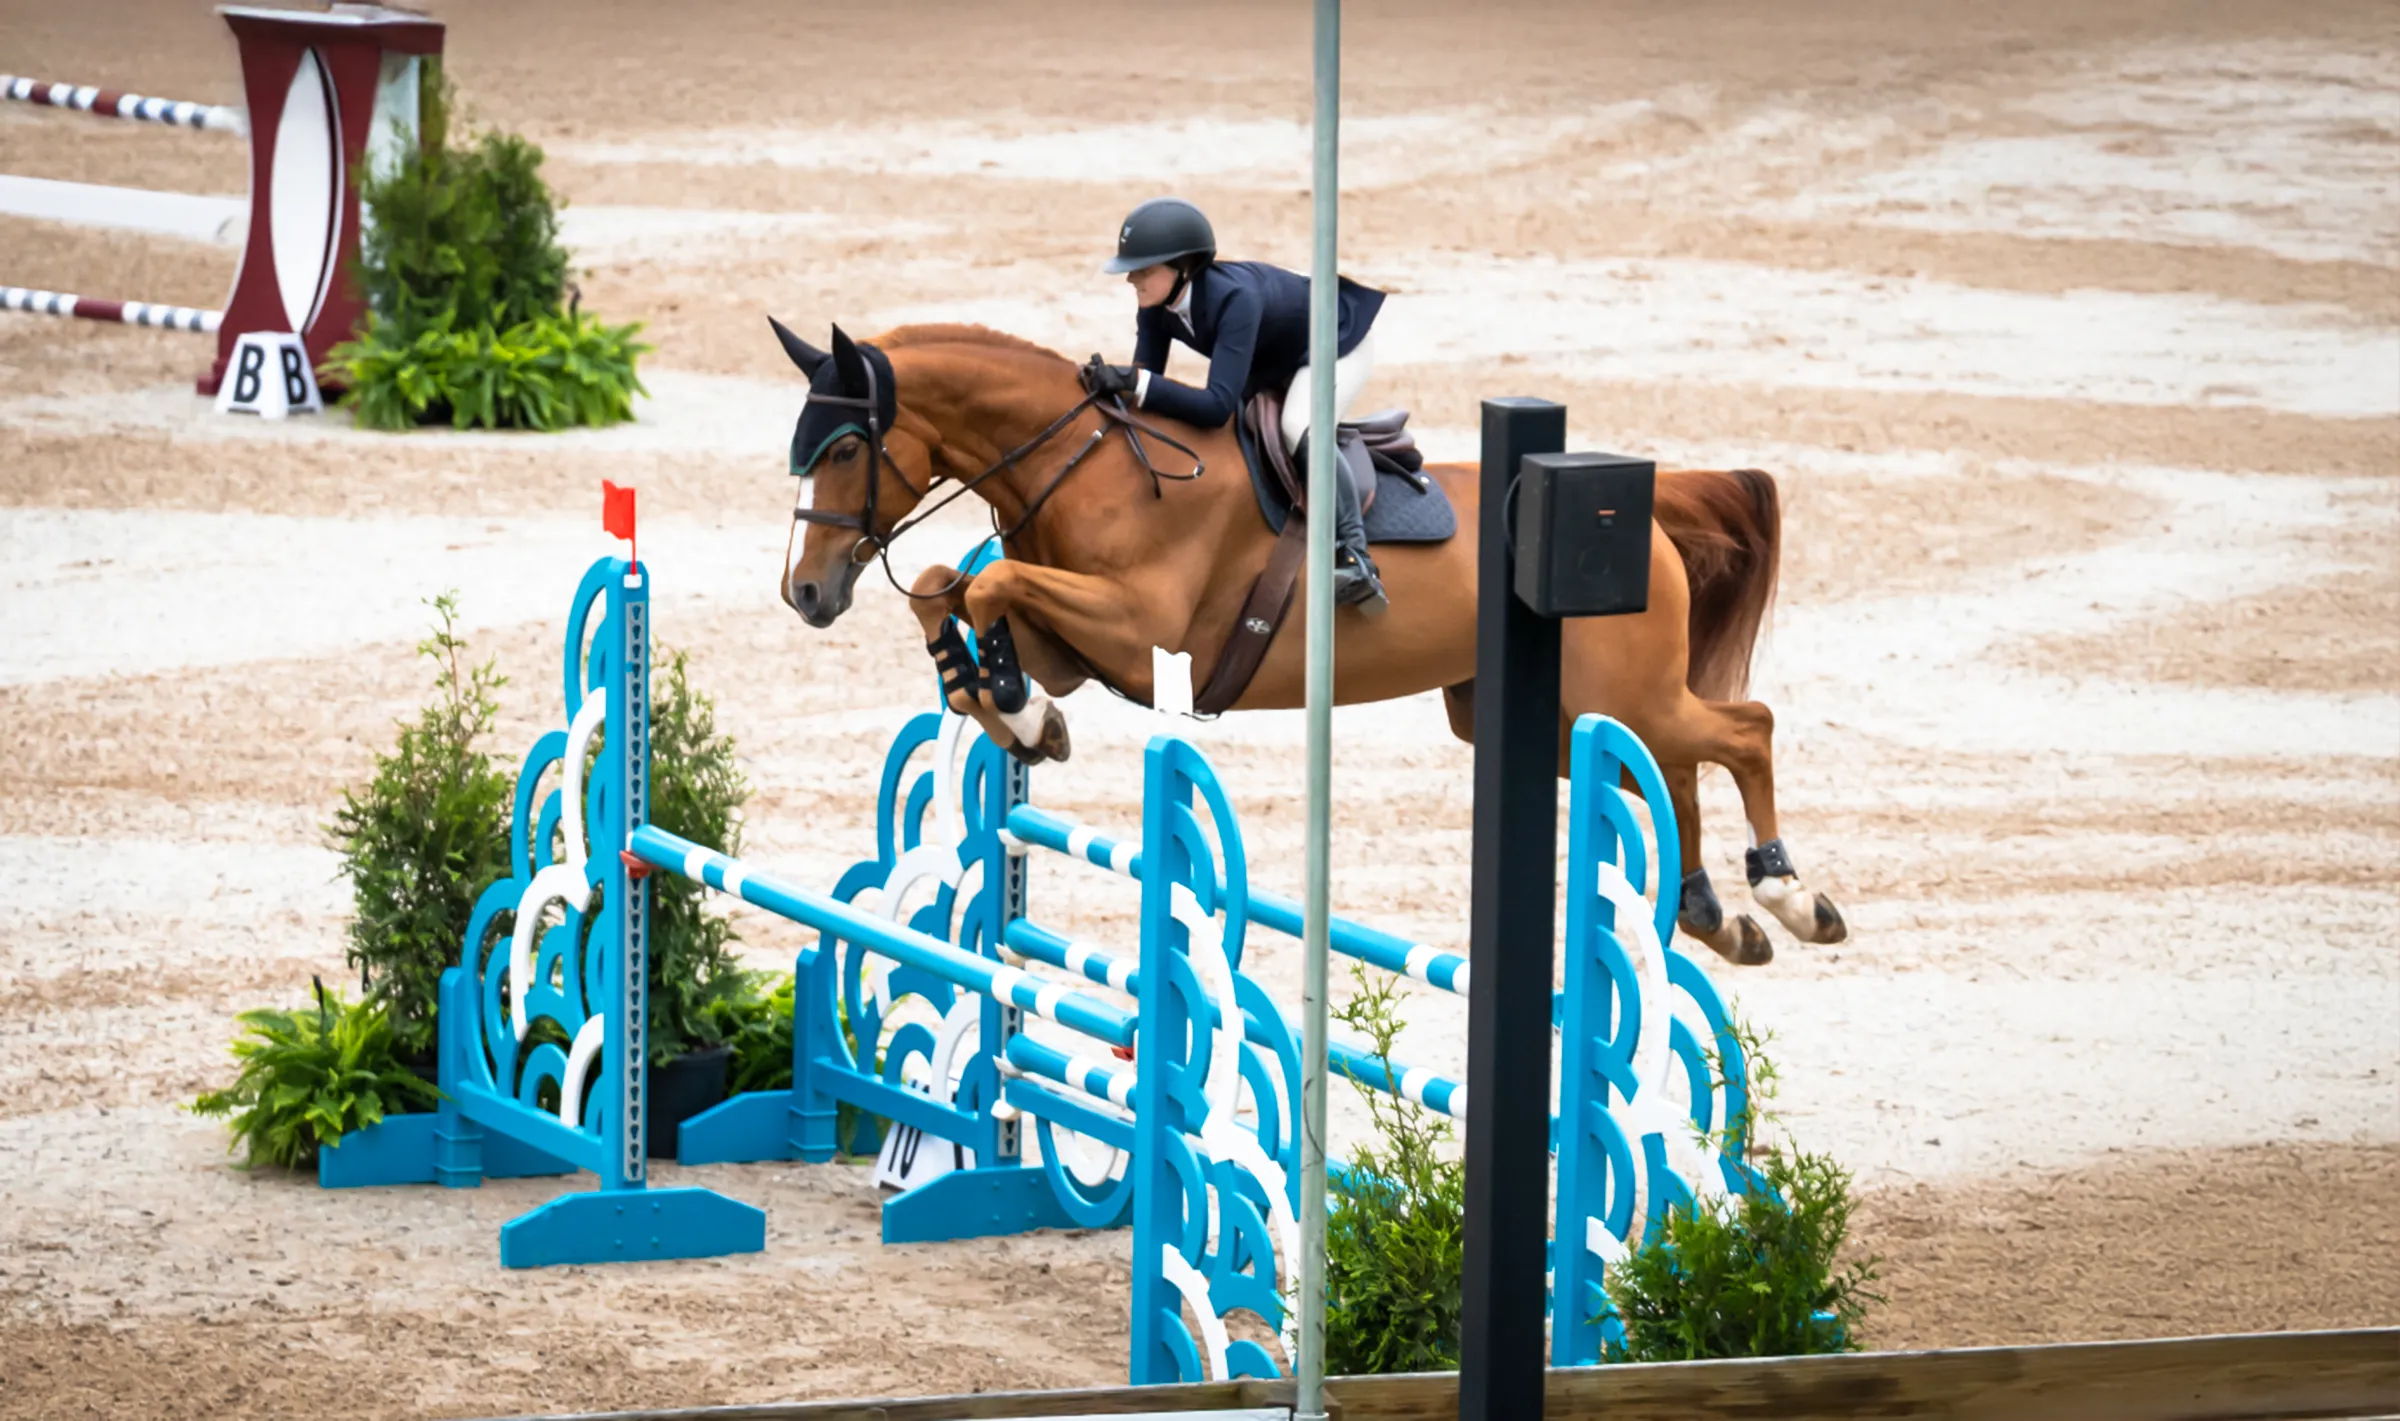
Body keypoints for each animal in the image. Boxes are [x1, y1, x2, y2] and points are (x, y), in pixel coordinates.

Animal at [769, 318, 1845, 965]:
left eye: (849, 447)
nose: (806, 591)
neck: (1089, 461)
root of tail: (1645, 514)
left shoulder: (1146, 629)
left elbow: (986, 581)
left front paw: (1019, 712)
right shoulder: (1078, 645)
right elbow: (953, 590)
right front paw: (1016, 710)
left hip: (1622, 694)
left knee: (1743, 727)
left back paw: (1790, 896)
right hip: (1555, 716)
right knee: (1664, 770)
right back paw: (1714, 915)